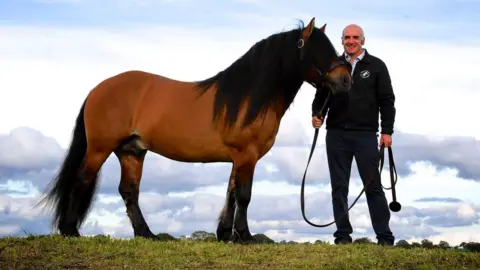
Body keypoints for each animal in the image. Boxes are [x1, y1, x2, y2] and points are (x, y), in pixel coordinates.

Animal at [38, 17, 352, 244]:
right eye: (318, 50)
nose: (346, 81)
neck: (248, 96)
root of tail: (97, 90)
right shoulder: (246, 155)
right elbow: (244, 195)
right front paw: (246, 237)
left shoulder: (239, 158)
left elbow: (231, 193)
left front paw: (225, 235)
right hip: (100, 148)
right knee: (82, 179)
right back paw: (70, 231)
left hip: (131, 152)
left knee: (129, 191)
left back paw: (147, 234)